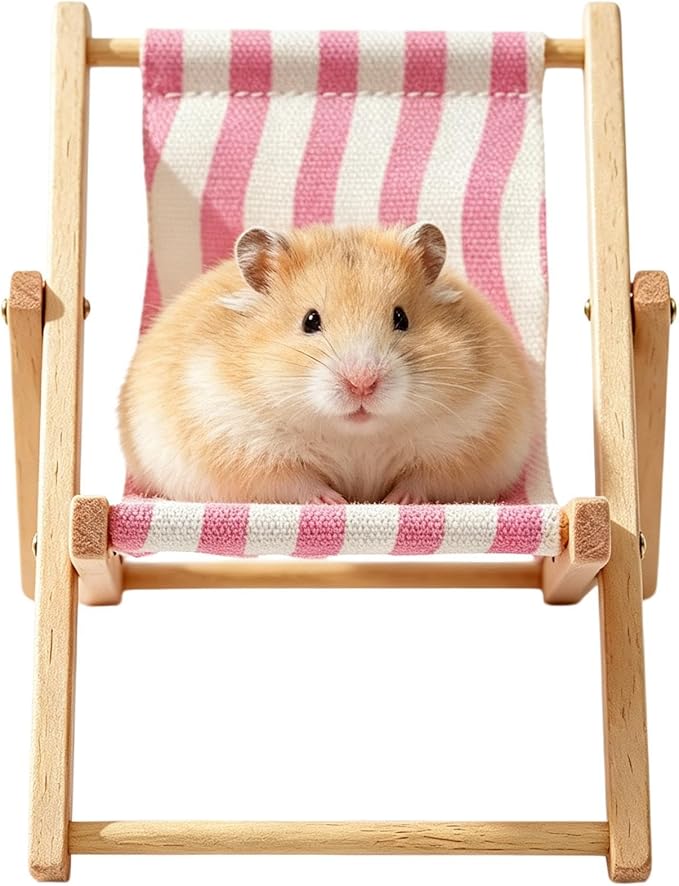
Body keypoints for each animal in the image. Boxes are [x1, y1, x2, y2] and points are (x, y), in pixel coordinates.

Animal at [119, 223, 535, 505]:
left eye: (401, 318)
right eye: (310, 321)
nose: (362, 384)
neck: (355, 436)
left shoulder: (471, 439)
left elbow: (424, 478)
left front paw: (395, 501)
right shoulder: (236, 441)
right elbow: (294, 479)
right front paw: (333, 501)